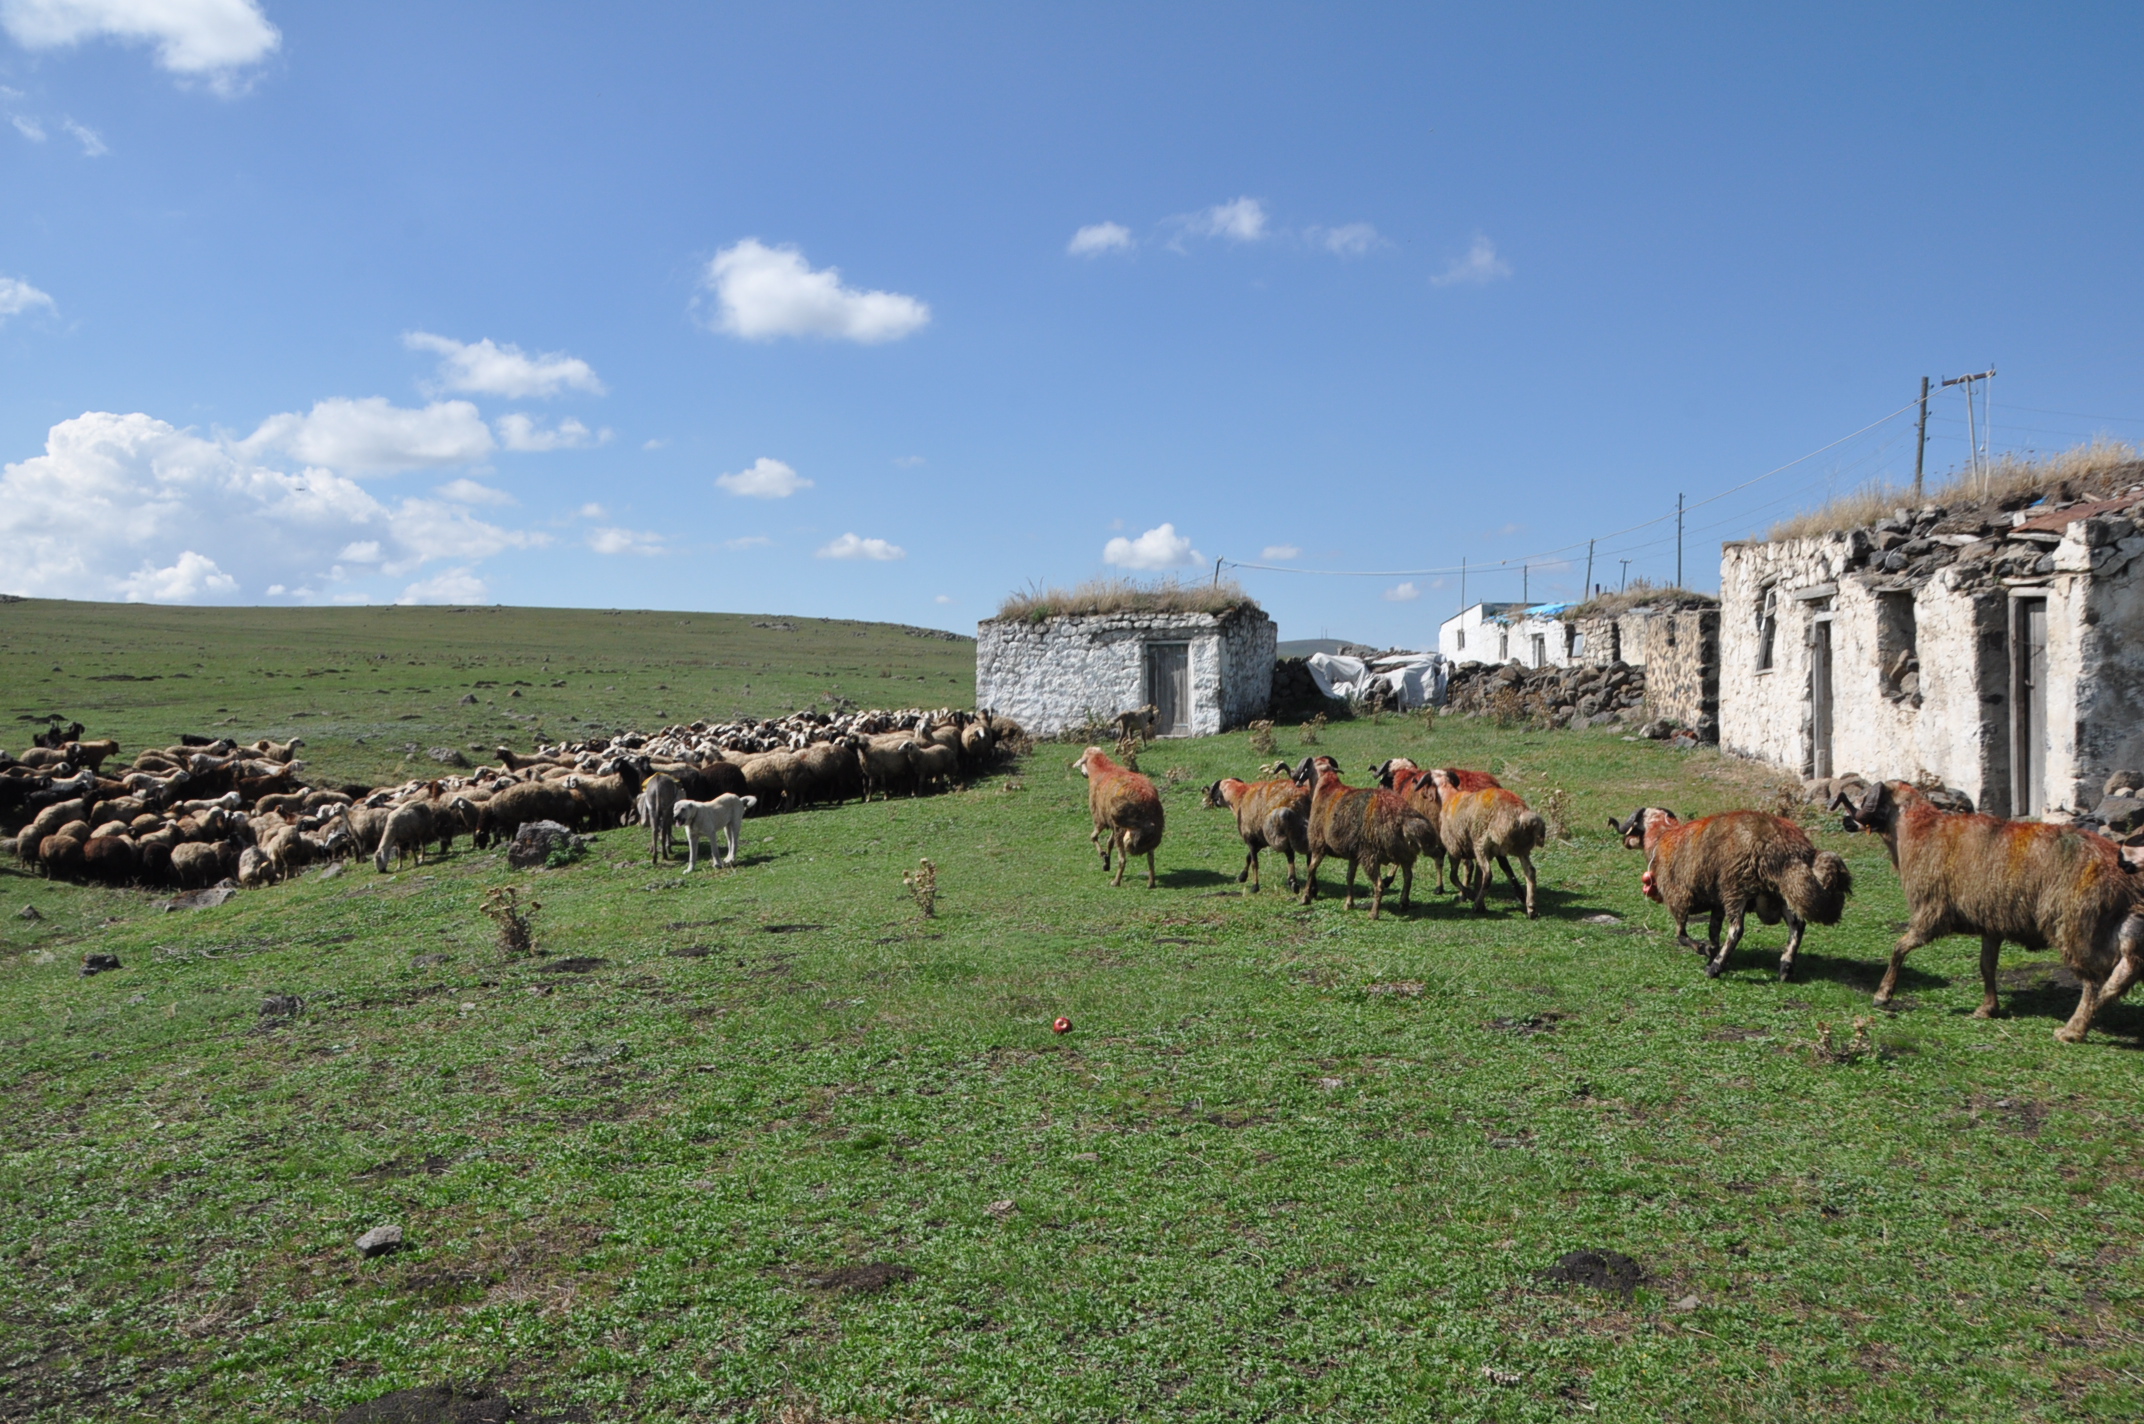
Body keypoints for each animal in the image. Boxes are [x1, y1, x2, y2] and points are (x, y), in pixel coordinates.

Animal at [1072, 750, 1174, 883]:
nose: (1083, 774)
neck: (1103, 769)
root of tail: (1145, 800)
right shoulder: (1112, 823)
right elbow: (1110, 842)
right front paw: (1106, 862)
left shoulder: (1100, 820)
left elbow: (1093, 837)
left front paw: (1103, 854)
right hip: (1149, 831)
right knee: (1151, 858)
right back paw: (1151, 883)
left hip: (1123, 830)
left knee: (1123, 859)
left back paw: (1116, 882)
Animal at [1294, 750, 1432, 917]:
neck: (1325, 787)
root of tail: (1404, 818)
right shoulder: (1353, 854)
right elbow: (1349, 877)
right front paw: (1349, 903)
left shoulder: (1318, 845)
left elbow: (1311, 869)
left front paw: (1305, 898)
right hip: (1404, 854)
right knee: (1408, 877)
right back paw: (1404, 903)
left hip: (1370, 854)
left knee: (1379, 884)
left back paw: (1374, 914)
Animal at [1432, 772, 1552, 917]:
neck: (1451, 798)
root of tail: (1522, 815)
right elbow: (1478, 875)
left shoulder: (1454, 848)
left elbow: (1454, 876)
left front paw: (1470, 895)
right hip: (1521, 848)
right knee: (1530, 871)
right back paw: (1531, 908)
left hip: (1482, 845)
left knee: (1488, 874)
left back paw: (1477, 905)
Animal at [1612, 806, 1852, 986]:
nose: (1624, 842)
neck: (1663, 836)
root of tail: (1788, 848)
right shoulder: (1717, 902)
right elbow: (1713, 929)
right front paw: (1711, 949)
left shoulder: (1679, 897)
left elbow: (1681, 934)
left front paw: (1705, 950)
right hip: (1780, 888)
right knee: (1797, 926)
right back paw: (1785, 967)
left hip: (1736, 886)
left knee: (1737, 930)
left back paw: (1715, 968)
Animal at [1843, 780, 2144, 1046]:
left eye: (1864, 798)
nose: (1846, 822)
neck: (1918, 832)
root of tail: (2124, 871)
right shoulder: (1991, 923)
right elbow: (1986, 966)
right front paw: (1988, 1008)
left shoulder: (1933, 912)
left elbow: (1899, 948)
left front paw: (1883, 995)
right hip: (2118, 920)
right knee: (2128, 964)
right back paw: (2102, 1003)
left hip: (2078, 924)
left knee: (2094, 979)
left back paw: (2073, 1030)